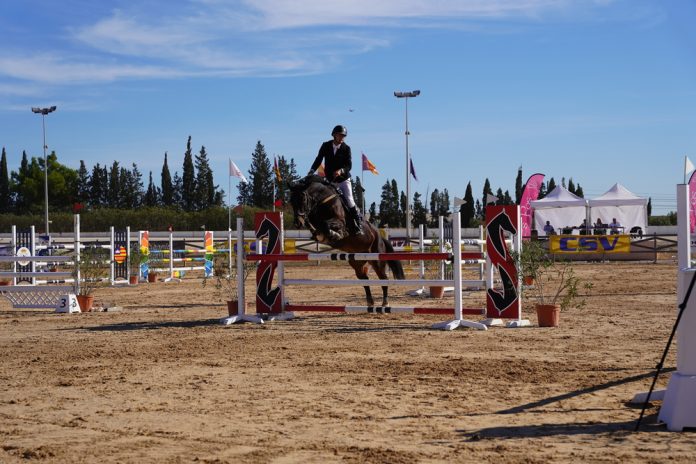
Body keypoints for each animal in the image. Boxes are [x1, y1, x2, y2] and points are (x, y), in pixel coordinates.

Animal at [288, 176, 406, 306]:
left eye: (303, 199)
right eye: (291, 201)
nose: (298, 223)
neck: (322, 201)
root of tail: (380, 237)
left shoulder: (340, 222)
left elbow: (327, 225)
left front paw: (336, 234)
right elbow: (317, 229)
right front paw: (320, 234)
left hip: (377, 260)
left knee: (383, 278)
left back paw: (385, 303)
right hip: (357, 262)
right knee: (364, 279)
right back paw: (370, 302)